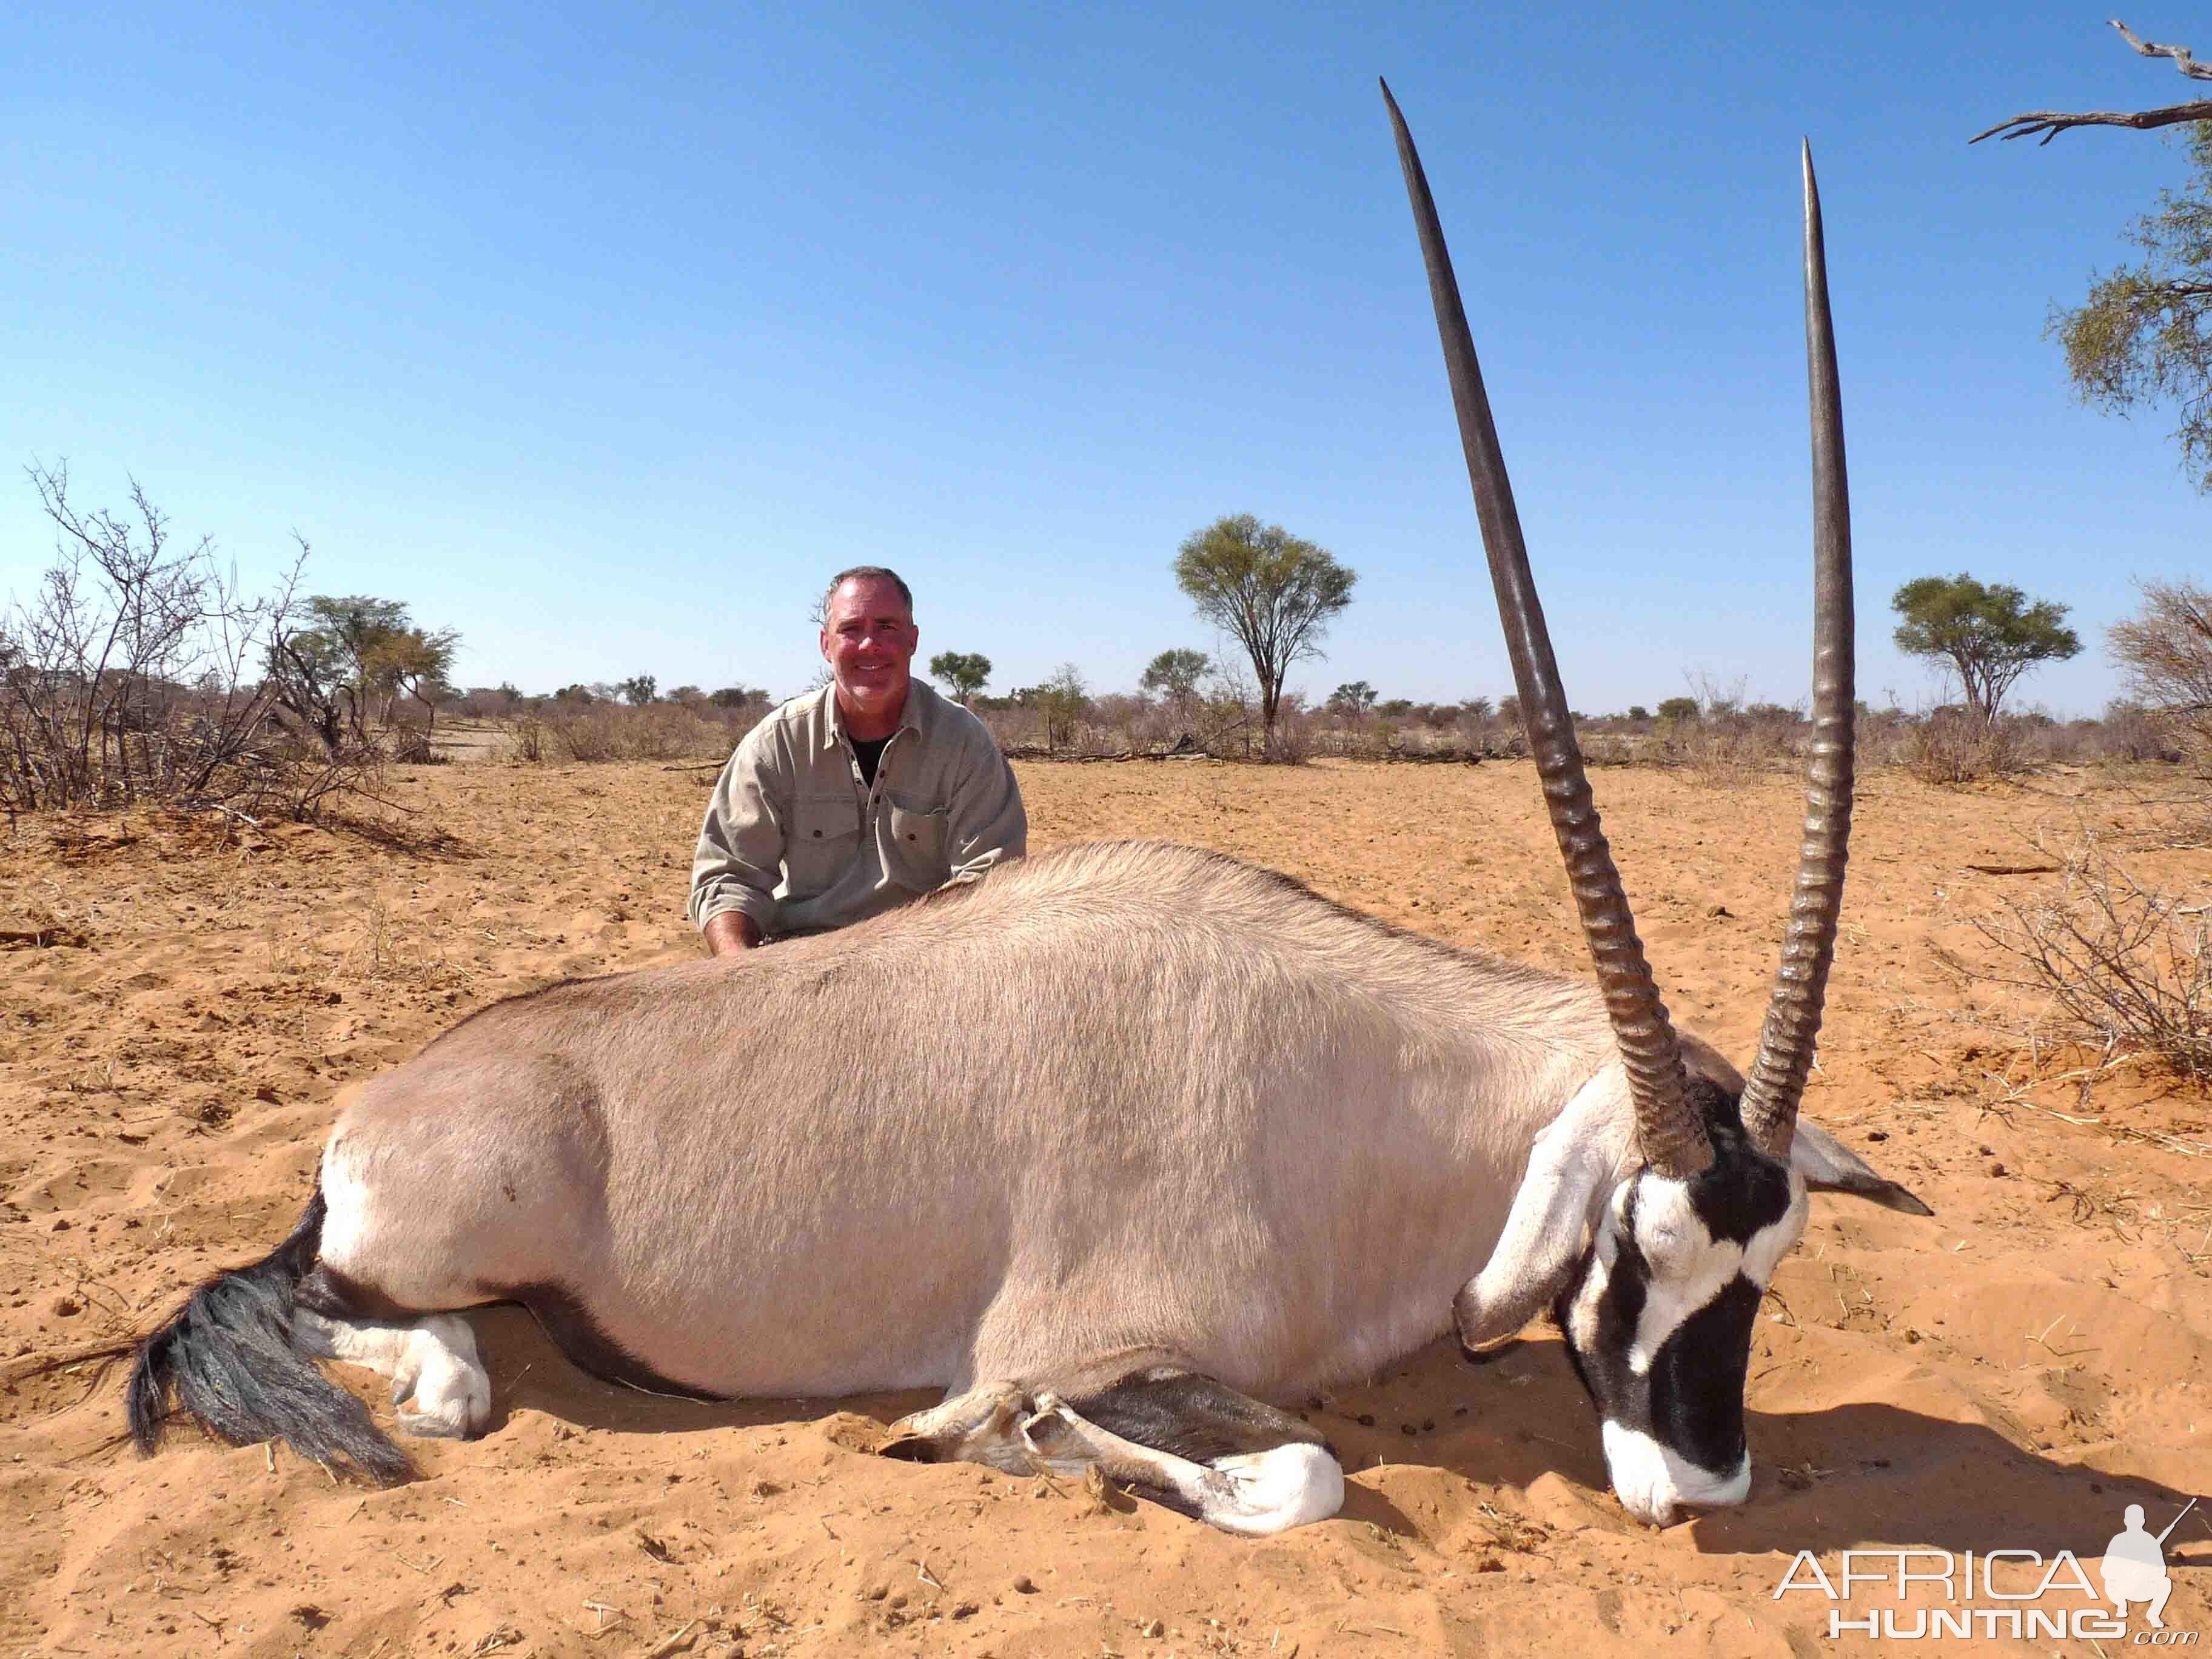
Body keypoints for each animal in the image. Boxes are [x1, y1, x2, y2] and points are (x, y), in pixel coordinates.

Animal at [129, 90, 1920, 1530]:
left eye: (1770, 1266)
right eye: (1627, 1246)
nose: (1704, 1480)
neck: (1368, 1103)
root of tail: (374, 1108)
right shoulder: (1092, 1336)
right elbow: (1296, 1470)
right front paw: (997, 1435)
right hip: (439, 1249)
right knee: (387, 1342)